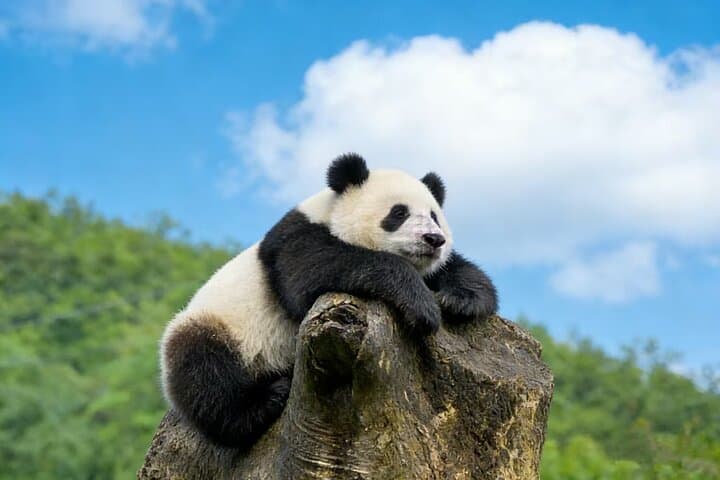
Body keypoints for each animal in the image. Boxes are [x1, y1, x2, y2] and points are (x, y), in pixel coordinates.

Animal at [160, 153, 497, 449]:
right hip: (216, 327)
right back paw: (266, 399)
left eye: (434, 215)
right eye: (398, 213)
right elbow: (314, 274)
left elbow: (455, 269)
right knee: (206, 374)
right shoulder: (294, 241)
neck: (330, 214)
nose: (434, 239)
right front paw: (421, 305)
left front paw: (460, 299)